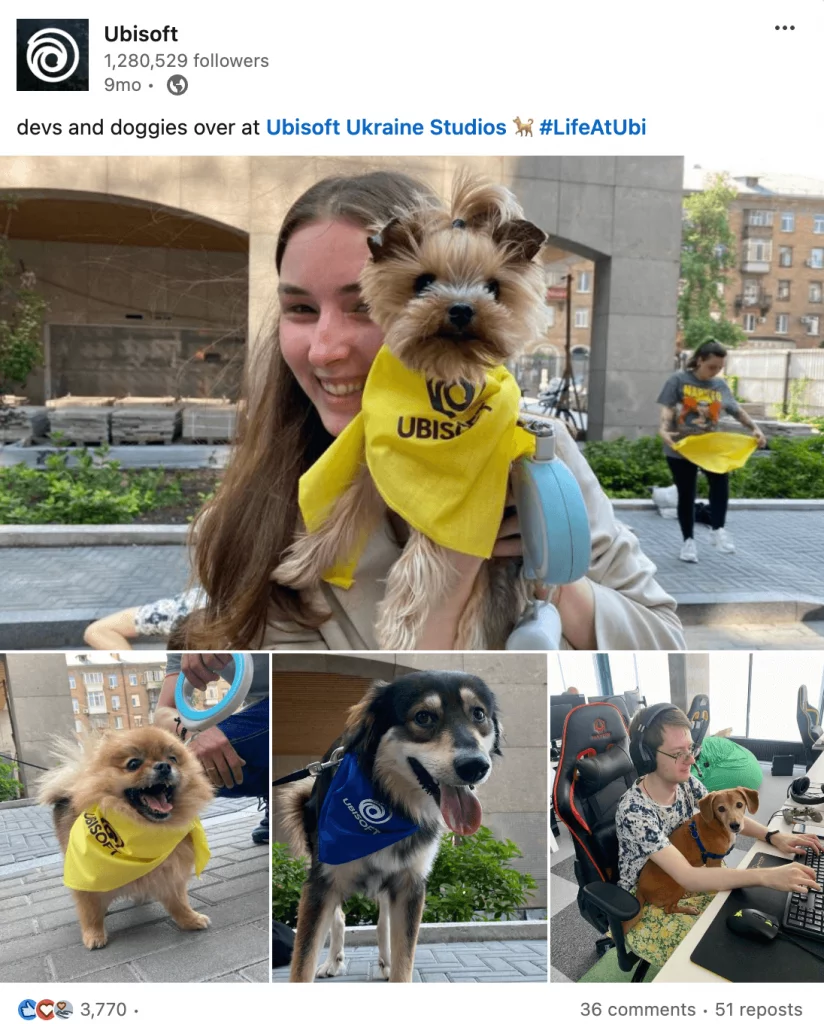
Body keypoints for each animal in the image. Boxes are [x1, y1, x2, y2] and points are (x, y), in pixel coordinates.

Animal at [38, 729, 211, 950]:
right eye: (133, 763)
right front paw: (94, 935)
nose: (164, 766)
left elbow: (179, 903)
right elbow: (90, 911)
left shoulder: (169, 874)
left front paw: (190, 920)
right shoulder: (84, 877)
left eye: (173, 758)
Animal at [272, 174, 548, 647]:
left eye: (493, 288)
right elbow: (342, 514)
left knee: (475, 619)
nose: (462, 308)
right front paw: (301, 564)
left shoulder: (449, 506)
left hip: (492, 570)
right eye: (422, 282)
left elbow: (419, 563)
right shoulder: (376, 469)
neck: (443, 373)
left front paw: (396, 628)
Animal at [278, 671, 501, 983]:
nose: (475, 766)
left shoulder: (410, 884)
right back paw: (333, 962)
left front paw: (393, 966)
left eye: (478, 714)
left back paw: (384, 961)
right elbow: (303, 963)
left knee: (383, 920)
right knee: (340, 918)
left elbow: (403, 958)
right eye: (423, 717)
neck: (390, 802)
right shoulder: (322, 883)